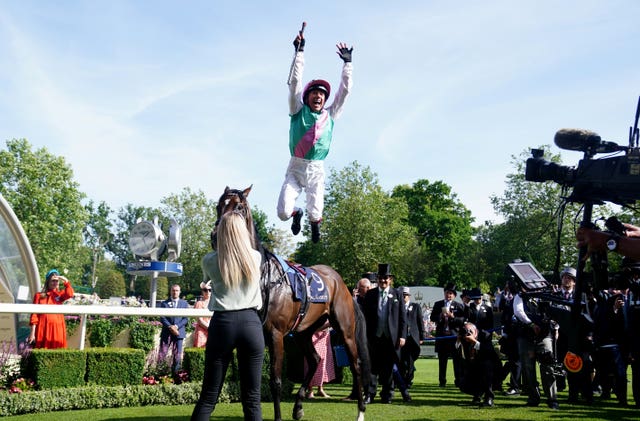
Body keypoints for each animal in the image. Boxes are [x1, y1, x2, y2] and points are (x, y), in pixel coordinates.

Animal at [212, 185, 368, 420]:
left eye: (238, 206)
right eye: (218, 206)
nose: (215, 236)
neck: (263, 277)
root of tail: (341, 283)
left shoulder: (276, 335)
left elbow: (275, 381)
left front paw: (277, 416)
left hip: (345, 329)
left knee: (356, 364)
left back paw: (360, 411)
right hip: (304, 331)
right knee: (315, 360)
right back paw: (298, 406)